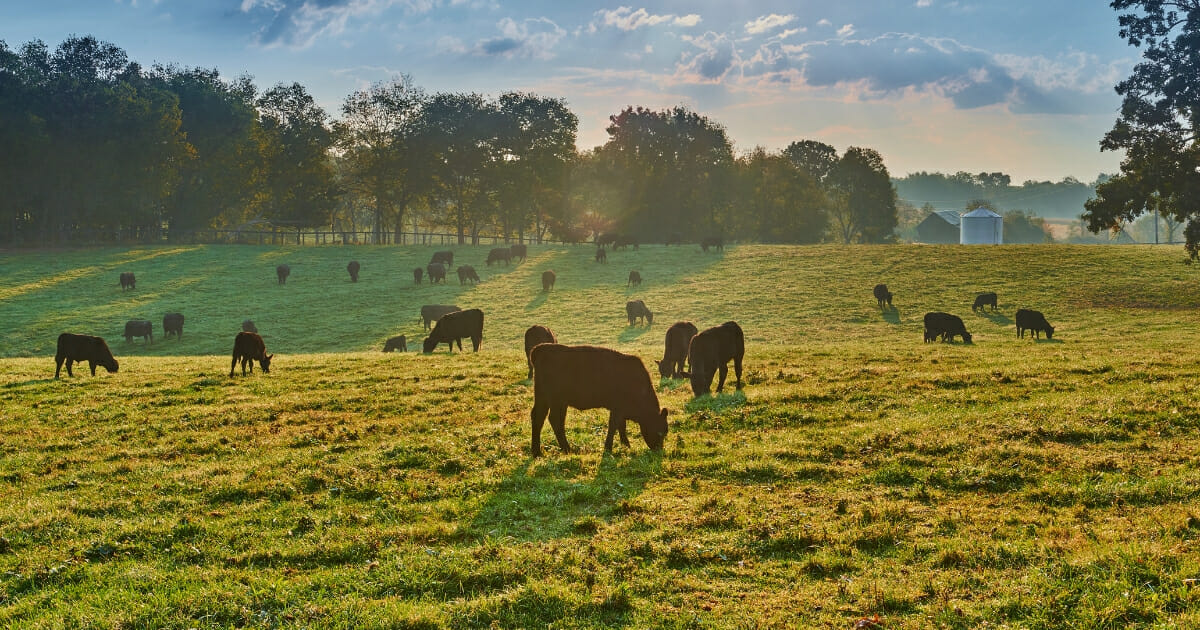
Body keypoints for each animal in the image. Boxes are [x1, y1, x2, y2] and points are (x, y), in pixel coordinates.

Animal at [529, 344, 668, 456]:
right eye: (660, 432)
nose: (659, 450)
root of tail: (540, 349)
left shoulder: (620, 410)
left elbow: (621, 426)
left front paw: (626, 445)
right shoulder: (617, 408)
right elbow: (614, 425)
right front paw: (608, 448)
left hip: (545, 399)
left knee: (539, 417)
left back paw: (537, 452)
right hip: (556, 400)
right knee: (554, 420)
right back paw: (567, 449)